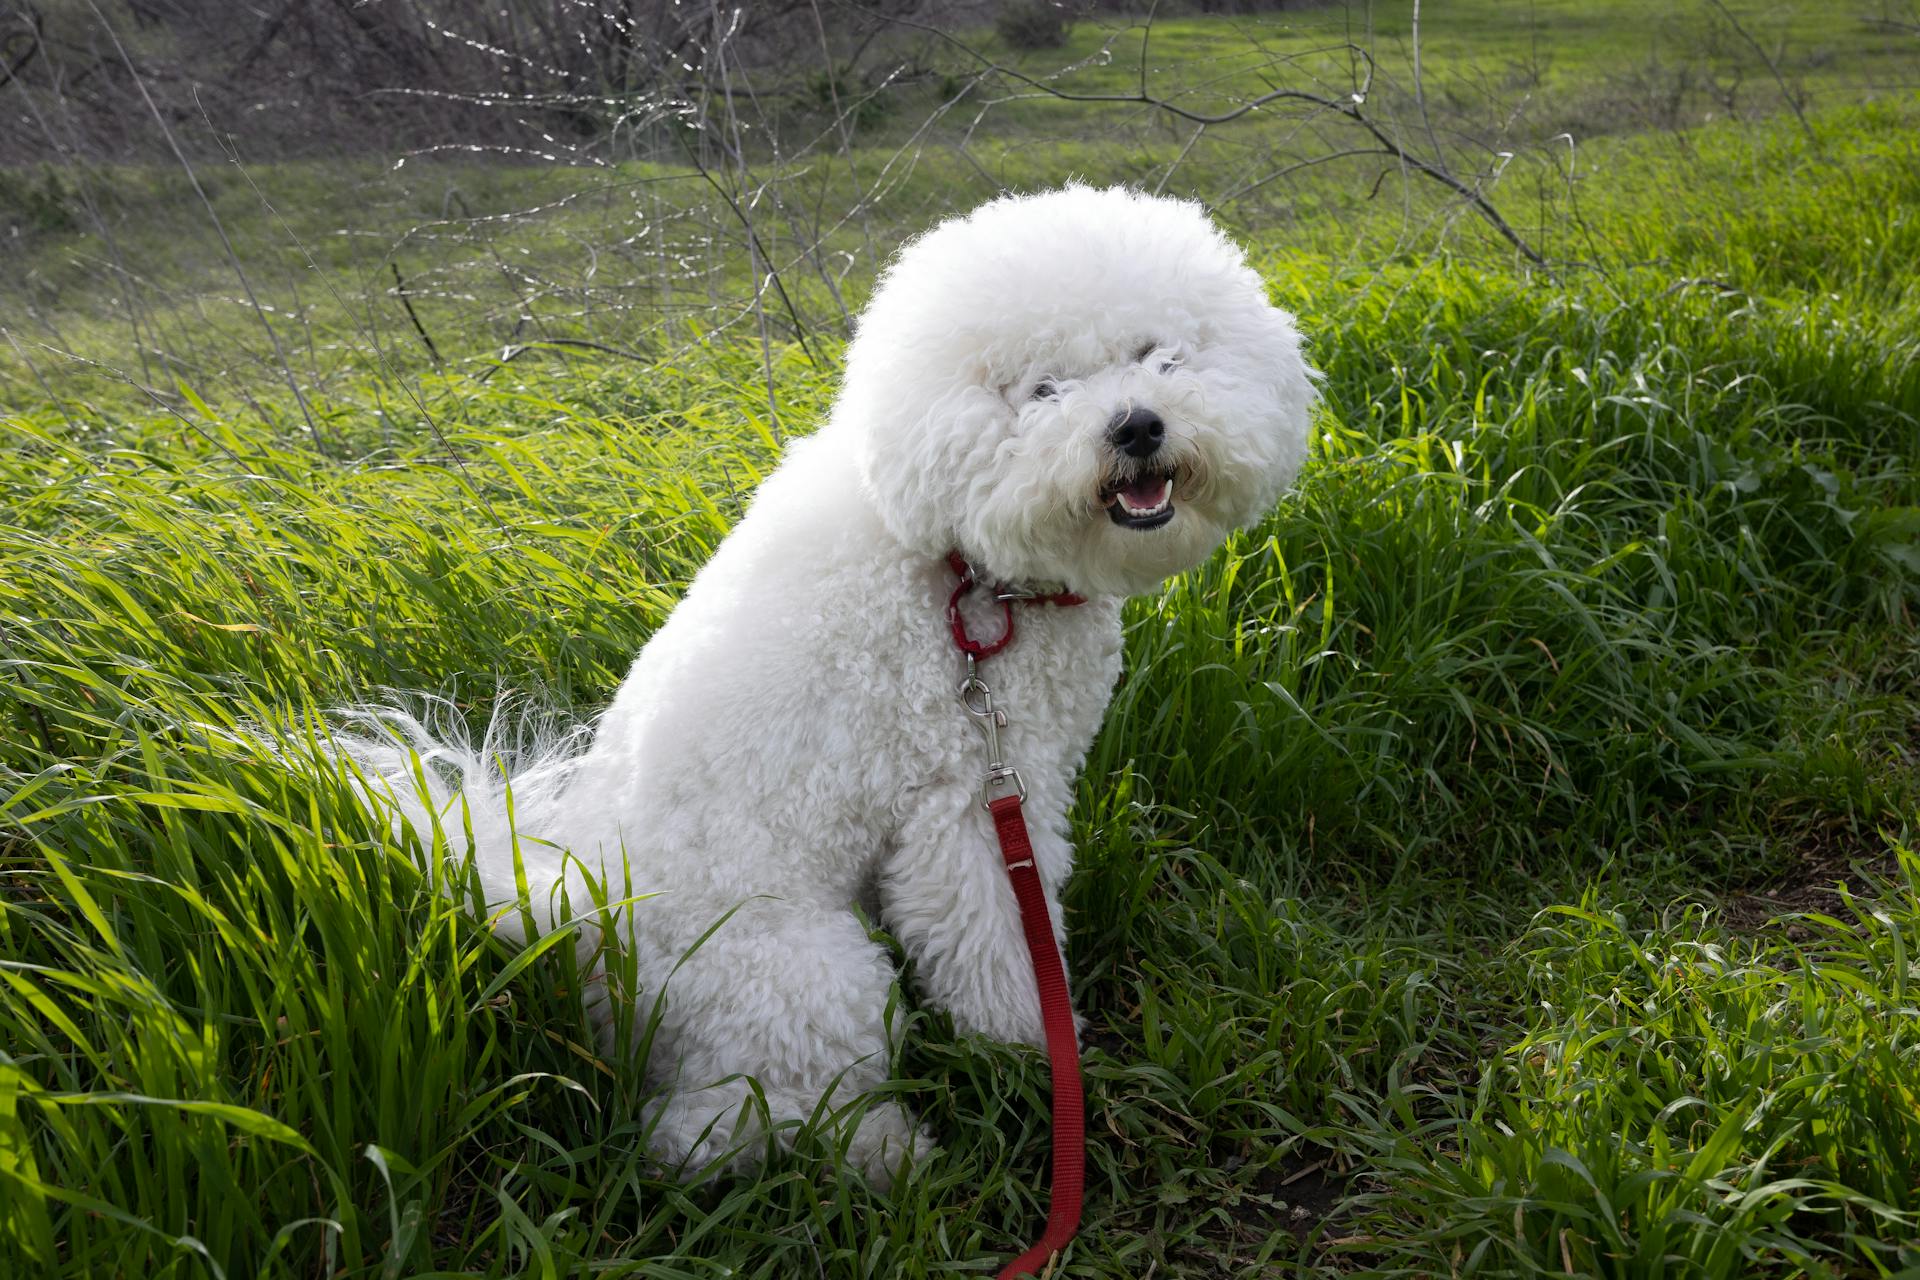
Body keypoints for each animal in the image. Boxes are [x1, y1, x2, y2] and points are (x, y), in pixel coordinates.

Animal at [334, 188, 1320, 1189]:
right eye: (1040, 391)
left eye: (1160, 354)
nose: (1137, 426)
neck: (962, 569)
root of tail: (574, 924)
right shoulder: (964, 807)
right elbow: (1002, 955)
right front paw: (1039, 1060)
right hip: (810, 975)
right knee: (722, 1126)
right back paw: (892, 1154)